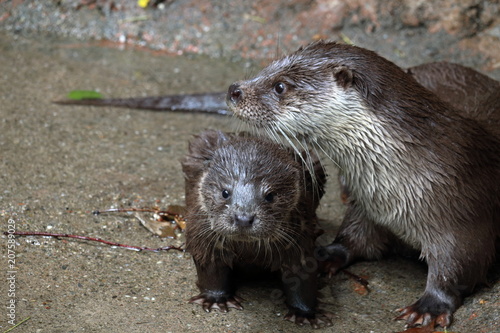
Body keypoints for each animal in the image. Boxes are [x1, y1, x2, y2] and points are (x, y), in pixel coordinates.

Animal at [182, 130, 330, 326]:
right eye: (225, 192)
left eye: (270, 196)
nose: (243, 218)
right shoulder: (203, 236)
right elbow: (211, 267)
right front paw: (216, 299)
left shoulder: (301, 237)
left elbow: (302, 275)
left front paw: (305, 313)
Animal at [228, 40, 500, 326]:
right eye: (267, 68)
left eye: (280, 86)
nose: (234, 90)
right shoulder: (368, 206)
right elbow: (353, 237)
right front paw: (322, 255)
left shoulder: (464, 215)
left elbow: (460, 265)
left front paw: (430, 306)